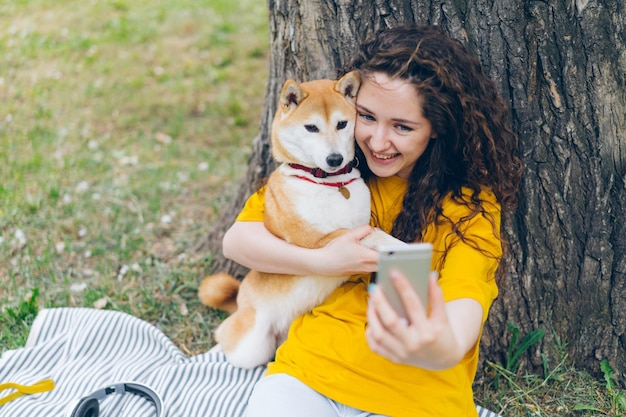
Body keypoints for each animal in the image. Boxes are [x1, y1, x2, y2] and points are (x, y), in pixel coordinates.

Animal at [197, 71, 400, 368]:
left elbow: (375, 230)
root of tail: (241, 301)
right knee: (225, 335)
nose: (335, 158)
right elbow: (373, 234)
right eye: (311, 128)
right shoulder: (315, 240)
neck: (329, 184)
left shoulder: (360, 220)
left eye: (342, 124)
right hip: (251, 344)